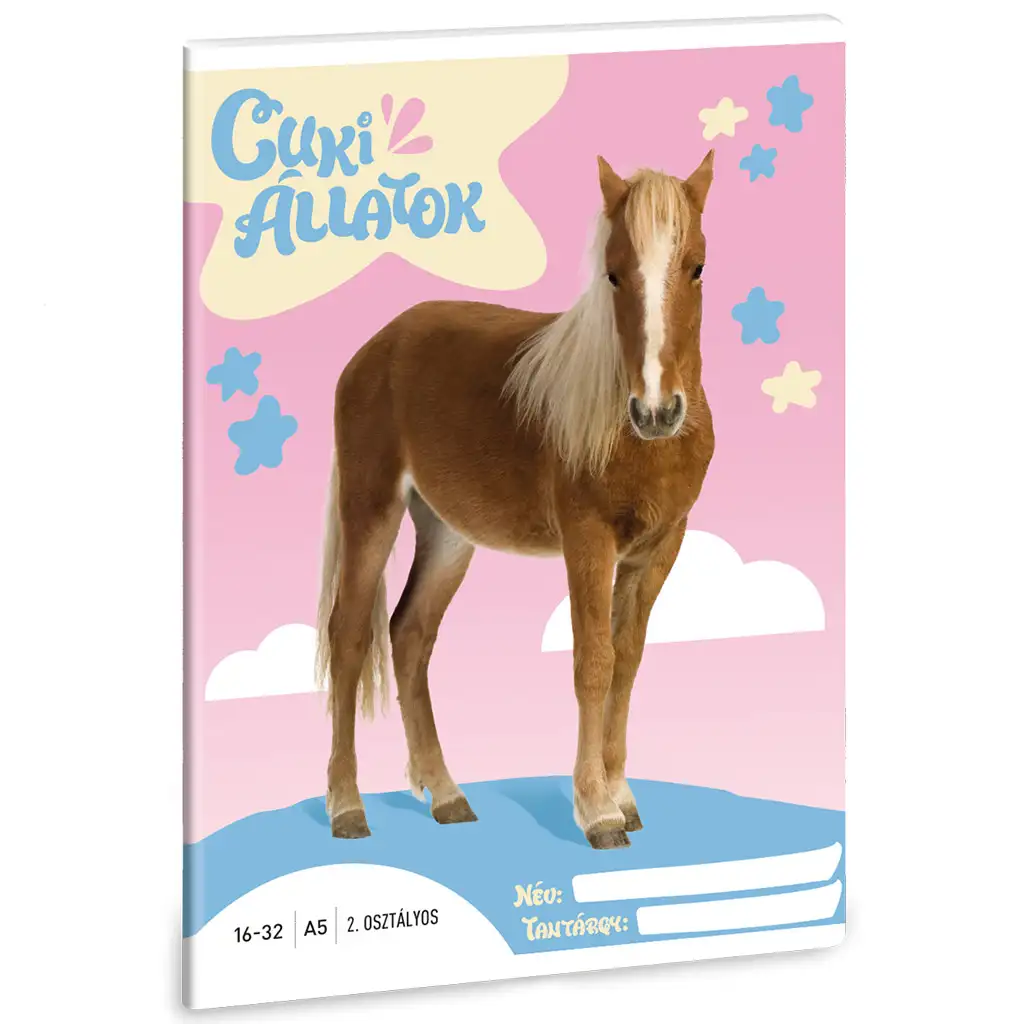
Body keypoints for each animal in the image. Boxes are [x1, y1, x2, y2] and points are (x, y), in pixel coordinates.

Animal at [315, 151, 716, 850]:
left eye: (697, 266)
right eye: (613, 273)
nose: (656, 412)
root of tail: (374, 348)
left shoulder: (660, 547)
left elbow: (629, 660)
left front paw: (622, 795)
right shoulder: (588, 541)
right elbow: (594, 661)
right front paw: (598, 811)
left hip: (448, 534)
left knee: (410, 635)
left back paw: (446, 795)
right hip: (372, 511)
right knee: (349, 637)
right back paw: (346, 808)